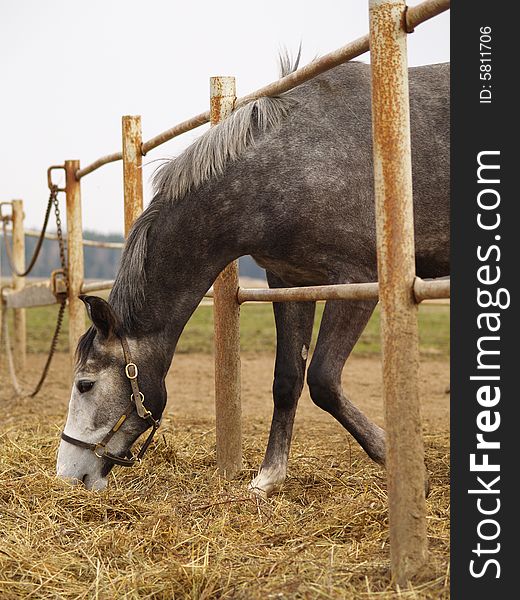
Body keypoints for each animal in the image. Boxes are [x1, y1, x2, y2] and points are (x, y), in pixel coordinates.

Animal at [55, 58, 446, 490]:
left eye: (85, 385)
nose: (66, 473)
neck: (287, 167)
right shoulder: (292, 281)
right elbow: (287, 379)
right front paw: (269, 477)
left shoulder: (356, 280)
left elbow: (323, 380)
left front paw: (401, 464)